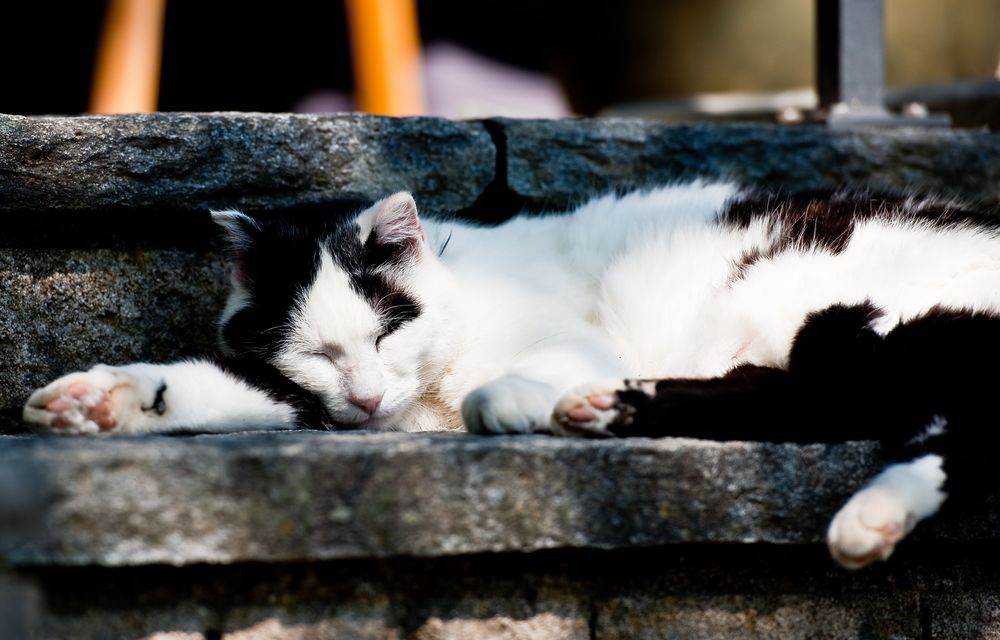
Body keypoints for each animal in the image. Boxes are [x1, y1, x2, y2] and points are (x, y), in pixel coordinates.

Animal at [19, 184, 1000, 568]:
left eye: (390, 329)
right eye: (323, 353)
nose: (367, 397)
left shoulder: (560, 342)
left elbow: (490, 388)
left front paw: (509, 402)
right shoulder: (302, 395)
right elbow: (217, 387)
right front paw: (99, 401)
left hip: (859, 320)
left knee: (889, 403)